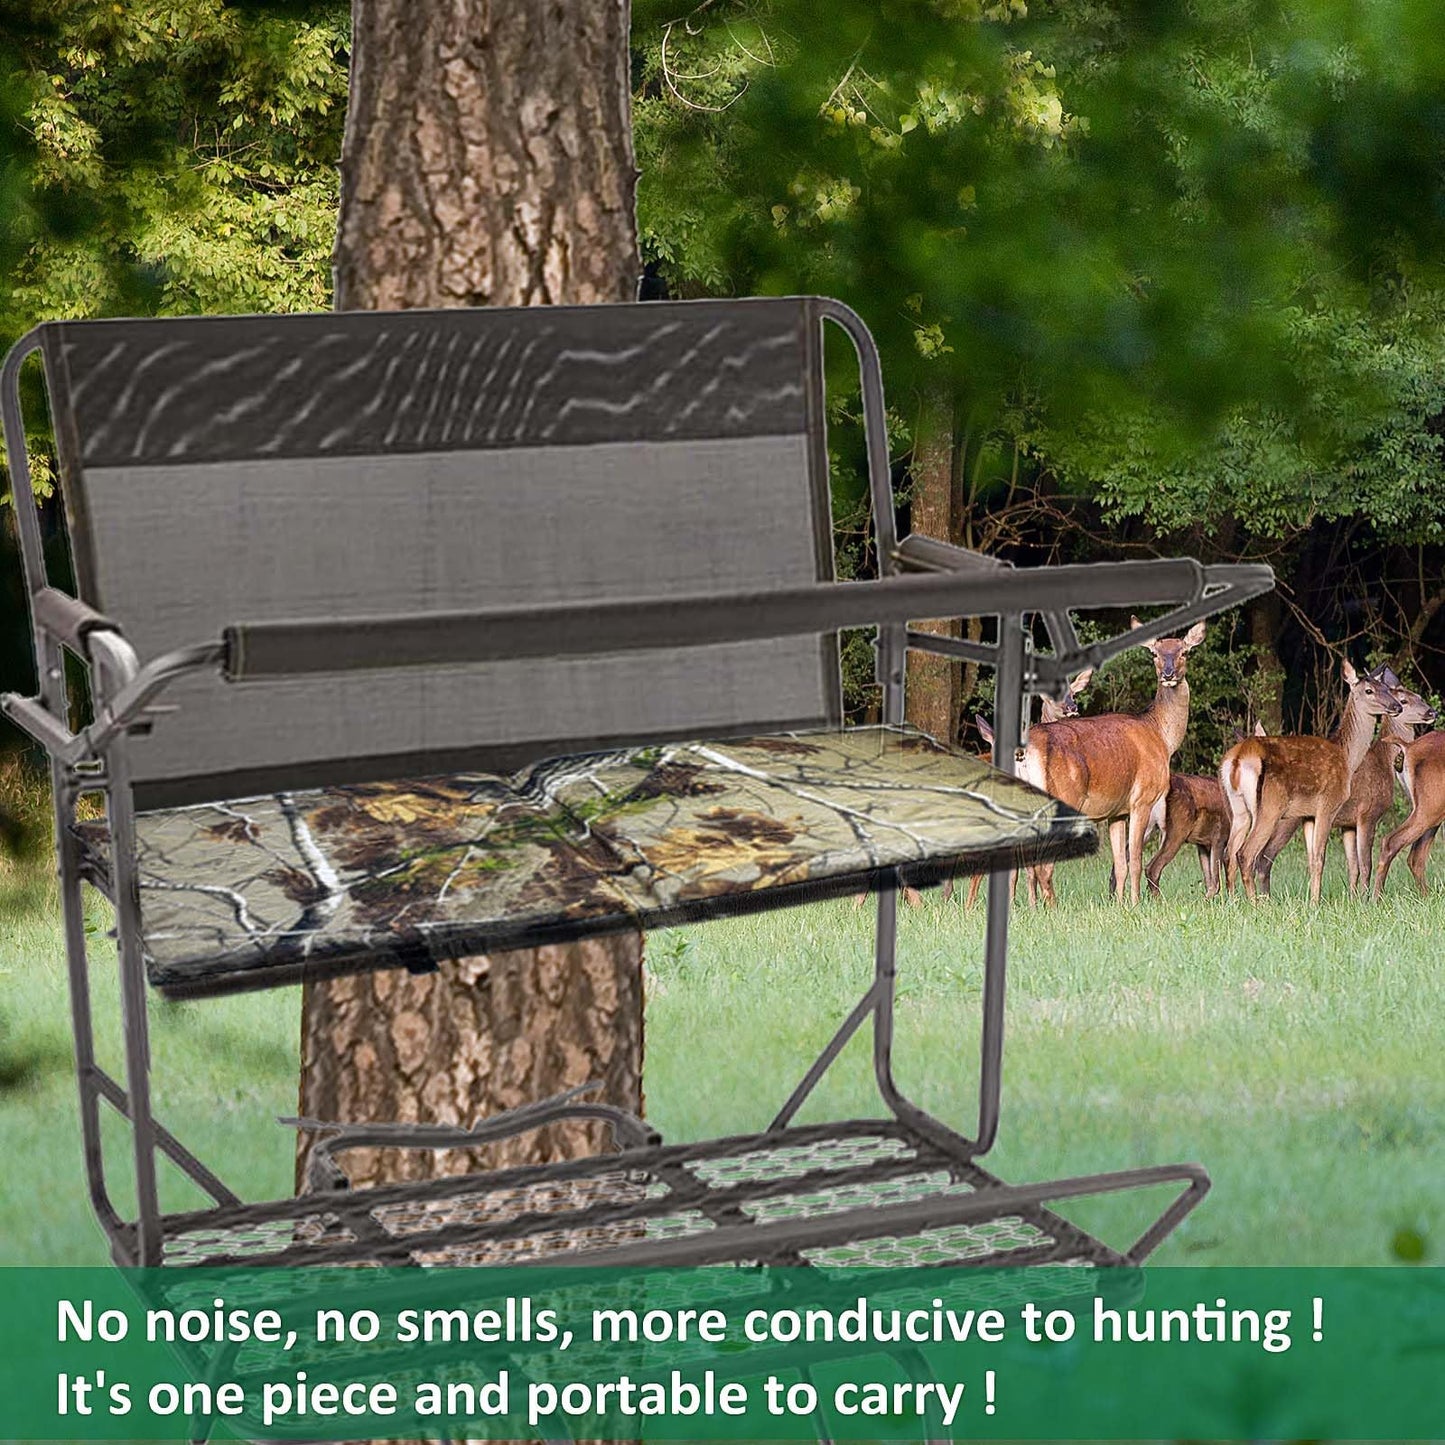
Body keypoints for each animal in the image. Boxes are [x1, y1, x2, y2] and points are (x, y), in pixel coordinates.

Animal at [1021, 619, 1206, 906]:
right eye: (1154, 654)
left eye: (1184, 651)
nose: (1168, 674)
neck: (1161, 737)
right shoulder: (1142, 798)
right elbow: (1136, 861)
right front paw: (1135, 903)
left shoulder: (1116, 811)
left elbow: (1120, 864)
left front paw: (1119, 904)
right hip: (1063, 798)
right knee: (1043, 865)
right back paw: (1051, 907)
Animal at [1220, 660, 1402, 904]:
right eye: (1369, 690)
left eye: (1386, 688)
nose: (1397, 706)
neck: (1346, 757)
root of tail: (1238, 759)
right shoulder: (1327, 804)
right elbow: (1320, 857)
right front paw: (1316, 903)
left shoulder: (1307, 815)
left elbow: (1311, 858)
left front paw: (1311, 899)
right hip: (1270, 807)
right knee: (1245, 853)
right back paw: (1254, 904)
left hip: (1238, 808)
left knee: (1228, 853)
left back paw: (1231, 902)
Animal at [1247, 667, 1435, 898]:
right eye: (1404, 700)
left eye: (1419, 696)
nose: (1431, 712)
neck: (1383, 762)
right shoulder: (1367, 814)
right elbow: (1365, 863)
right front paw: (1365, 899)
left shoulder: (1348, 824)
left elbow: (1353, 866)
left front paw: (1353, 898)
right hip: (1285, 819)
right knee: (1262, 857)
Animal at [1373, 728, 1445, 897]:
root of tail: (1408, 747)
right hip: (1430, 809)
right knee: (1391, 842)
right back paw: (1376, 898)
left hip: (1430, 813)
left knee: (1416, 857)